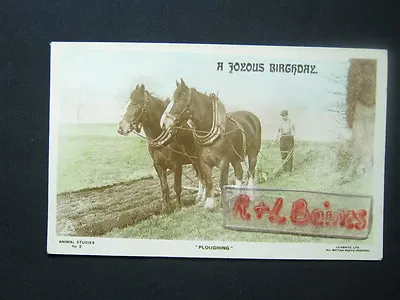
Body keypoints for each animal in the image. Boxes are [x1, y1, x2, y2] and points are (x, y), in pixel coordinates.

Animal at [115, 83, 203, 212]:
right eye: (128, 104)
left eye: (136, 103)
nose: (121, 127)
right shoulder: (158, 166)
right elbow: (164, 187)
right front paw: (166, 208)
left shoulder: (177, 165)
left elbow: (177, 186)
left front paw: (179, 207)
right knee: (200, 175)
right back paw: (200, 197)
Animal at [161, 79, 260, 211]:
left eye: (181, 99)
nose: (164, 124)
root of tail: (252, 116)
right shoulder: (204, 162)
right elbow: (208, 181)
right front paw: (209, 204)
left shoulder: (224, 161)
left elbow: (222, 182)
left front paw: (223, 204)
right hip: (235, 157)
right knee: (239, 172)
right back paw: (237, 197)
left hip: (253, 153)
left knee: (251, 171)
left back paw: (251, 194)